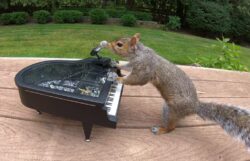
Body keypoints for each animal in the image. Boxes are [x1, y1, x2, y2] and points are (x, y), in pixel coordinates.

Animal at [103, 32, 250, 148]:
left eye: (119, 44)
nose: (107, 44)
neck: (140, 53)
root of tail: (194, 106)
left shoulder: (145, 68)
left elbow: (137, 79)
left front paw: (118, 78)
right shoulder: (134, 64)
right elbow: (127, 66)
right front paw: (115, 64)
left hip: (171, 110)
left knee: (172, 128)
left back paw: (160, 130)